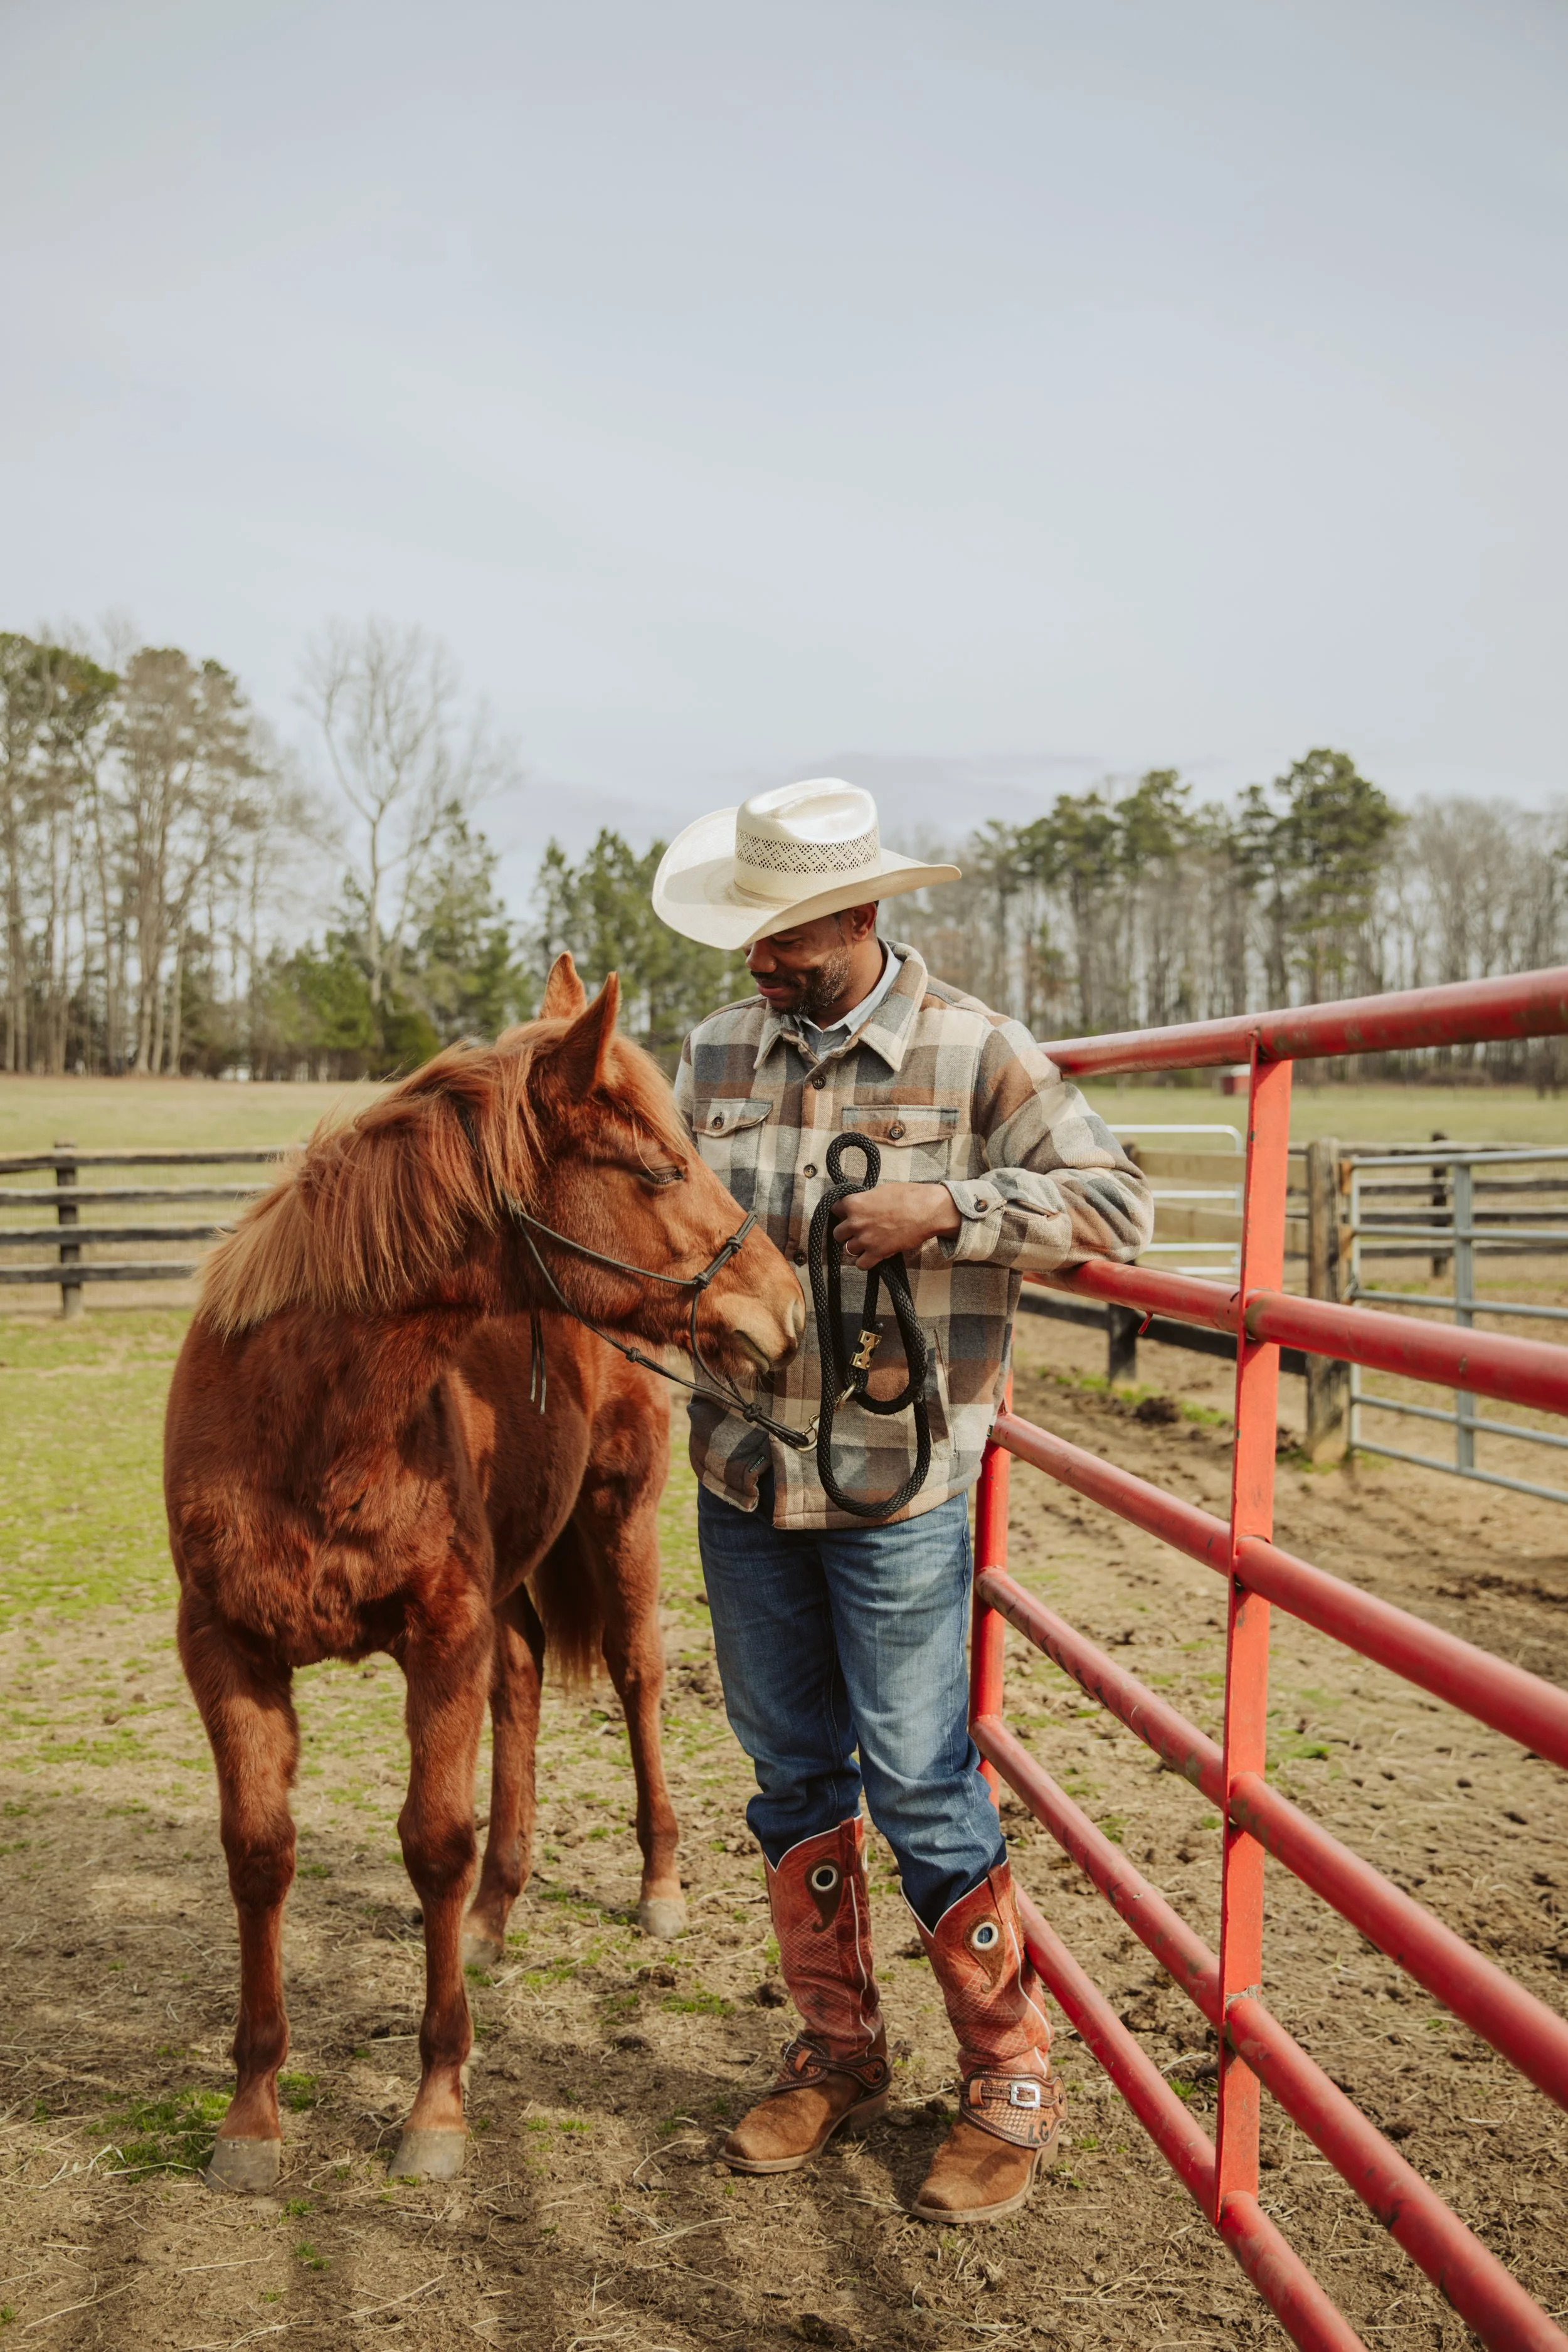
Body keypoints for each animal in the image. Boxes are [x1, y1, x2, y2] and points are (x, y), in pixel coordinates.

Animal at [163, 955, 803, 2192]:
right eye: (659, 1167)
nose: (790, 1305)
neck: (305, 1423)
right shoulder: (226, 1647)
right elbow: (260, 1851)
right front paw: (253, 2112)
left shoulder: (439, 1634)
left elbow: (432, 1844)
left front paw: (436, 2106)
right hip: (510, 1579)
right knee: (522, 1685)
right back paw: (499, 1914)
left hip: (617, 1524)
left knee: (638, 1677)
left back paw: (657, 1887)